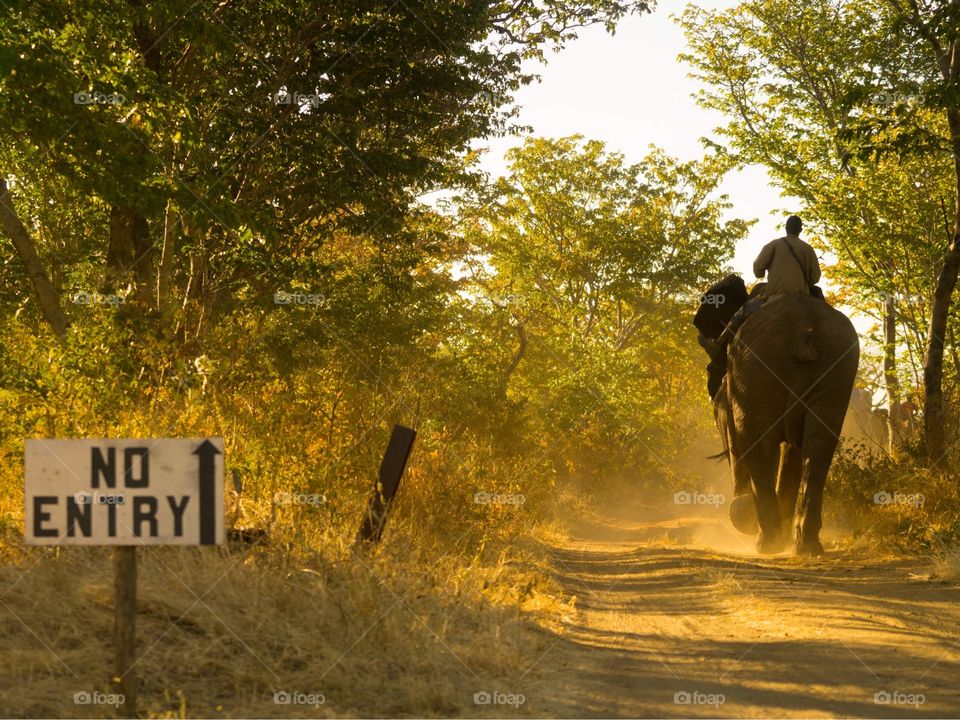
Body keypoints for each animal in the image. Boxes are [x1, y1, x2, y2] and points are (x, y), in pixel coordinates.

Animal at [692, 282, 860, 556]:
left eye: (709, 370)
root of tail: (804, 329)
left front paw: (744, 516)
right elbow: (794, 451)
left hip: (757, 364)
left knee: (757, 443)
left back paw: (767, 542)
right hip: (838, 365)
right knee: (819, 443)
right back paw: (806, 547)